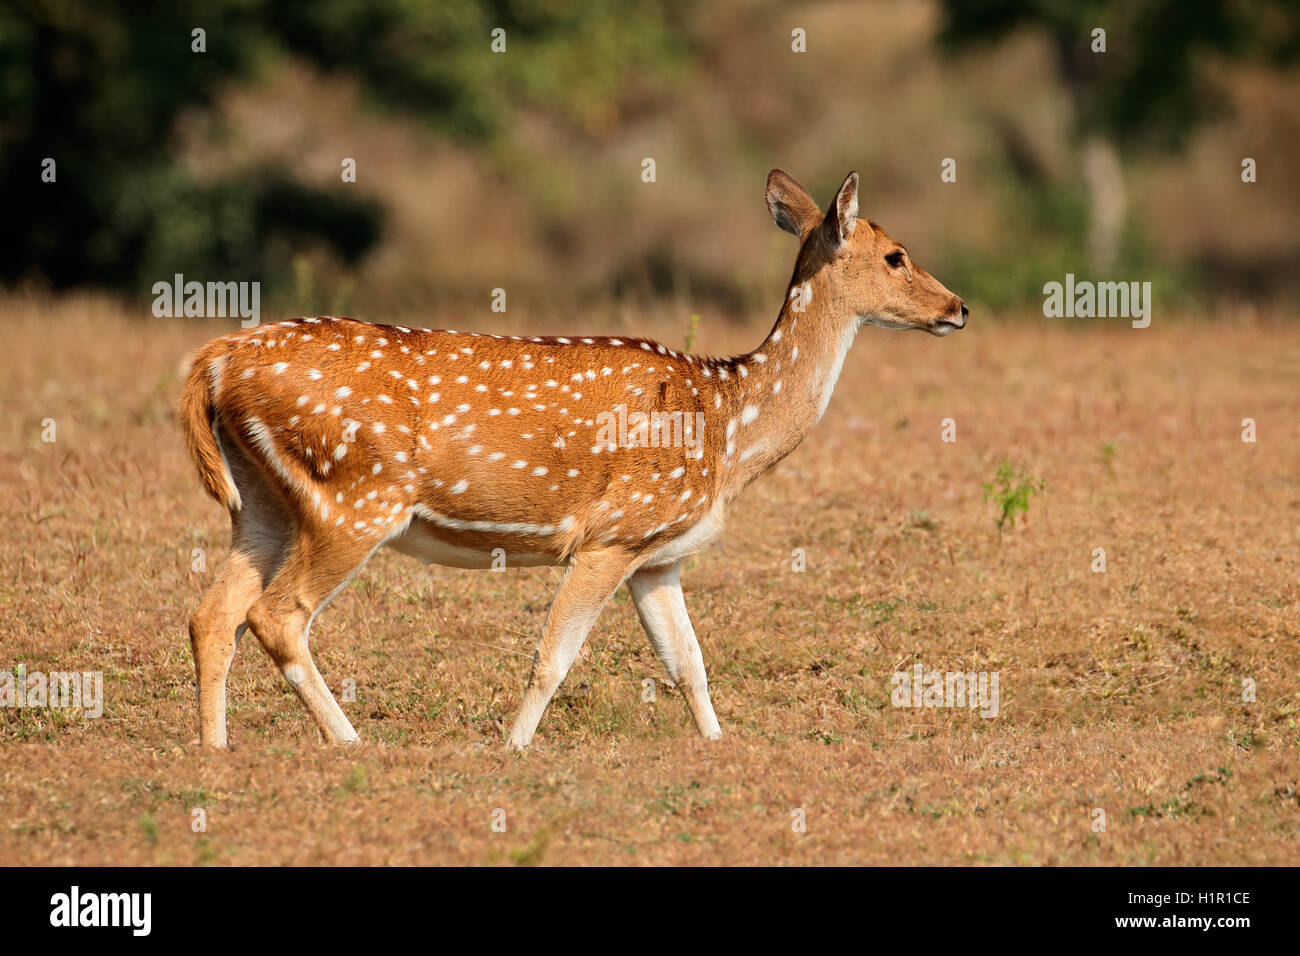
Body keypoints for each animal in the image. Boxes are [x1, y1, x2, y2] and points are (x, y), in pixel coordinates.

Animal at [180, 174, 967, 754]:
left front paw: (718, 744)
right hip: (354, 497)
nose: (958, 307)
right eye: (896, 255)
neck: (727, 425)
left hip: (264, 503)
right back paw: (348, 741)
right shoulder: (611, 533)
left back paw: (214, 748)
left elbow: (689, 662)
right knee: (276, 615)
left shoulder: (657, 554)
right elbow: (553, 657)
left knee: (213, 614)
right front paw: (512, 749)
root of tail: (215, 363)